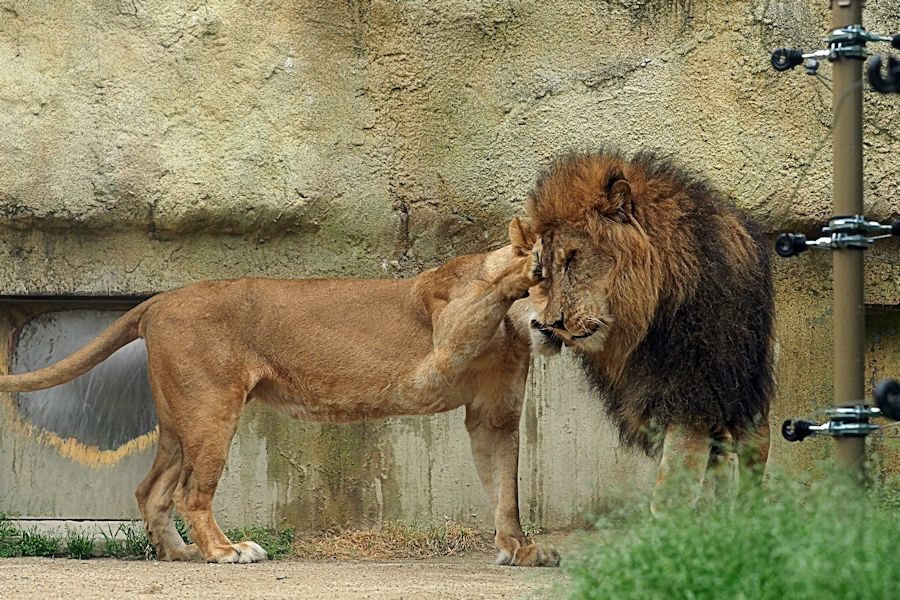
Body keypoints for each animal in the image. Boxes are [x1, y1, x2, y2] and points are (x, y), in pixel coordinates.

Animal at [0, 217, 560, 568]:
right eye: (551, 284)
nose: (559, 325)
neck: (510, 335)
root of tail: (159, 299)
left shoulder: (493, 414)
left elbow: (505, 491)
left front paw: (522, 550)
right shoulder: (439, 347)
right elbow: (486, 292)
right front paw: (526, 263)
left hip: (180, 420)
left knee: (151, 490)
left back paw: (181, 554)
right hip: (211, 409)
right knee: (188, 492)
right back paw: (225, 551)